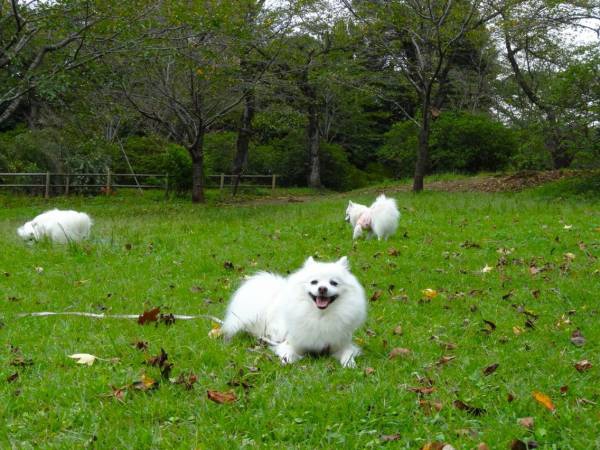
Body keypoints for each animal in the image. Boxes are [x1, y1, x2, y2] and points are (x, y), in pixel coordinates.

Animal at [223, 255, 368, 368]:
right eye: (314, 282)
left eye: (333, 283)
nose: (322, 288)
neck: (320, 316)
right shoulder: (289, 343)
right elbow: (289, 352)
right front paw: (288, 360)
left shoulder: (341, 345)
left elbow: (348, 354)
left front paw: (349, 364)